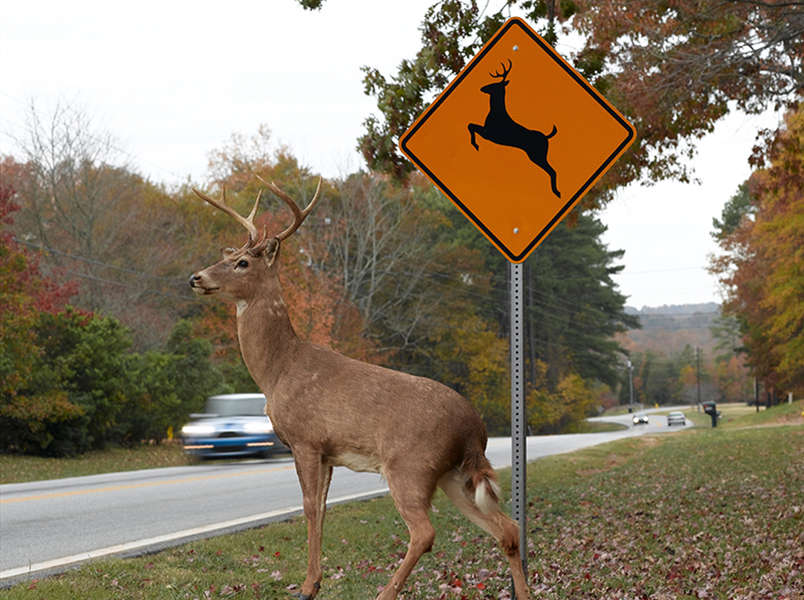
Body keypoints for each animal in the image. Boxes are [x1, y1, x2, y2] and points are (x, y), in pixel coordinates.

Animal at [188, 179, 532, 600]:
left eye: (243, 263)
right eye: (231, 254)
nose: (197, 277)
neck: (278, 369)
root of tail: (474, 428)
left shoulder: (305, 440)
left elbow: (308, 507)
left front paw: (307, 586)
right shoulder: (328, 453)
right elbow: (321, 509)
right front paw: (315, 581)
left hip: (410, 465)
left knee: (425, 532)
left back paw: (385, 592)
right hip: (453, 473)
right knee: (507, 528)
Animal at [468, 60, 564, 198]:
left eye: (495, 84)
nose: (482, 88)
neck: (496, 112)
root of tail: (547, 137)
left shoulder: (490, 134)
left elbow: (471, 125)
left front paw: (475, 145)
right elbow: (471, 125)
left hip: (538, 155)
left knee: (553, 171)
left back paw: (557, 192)